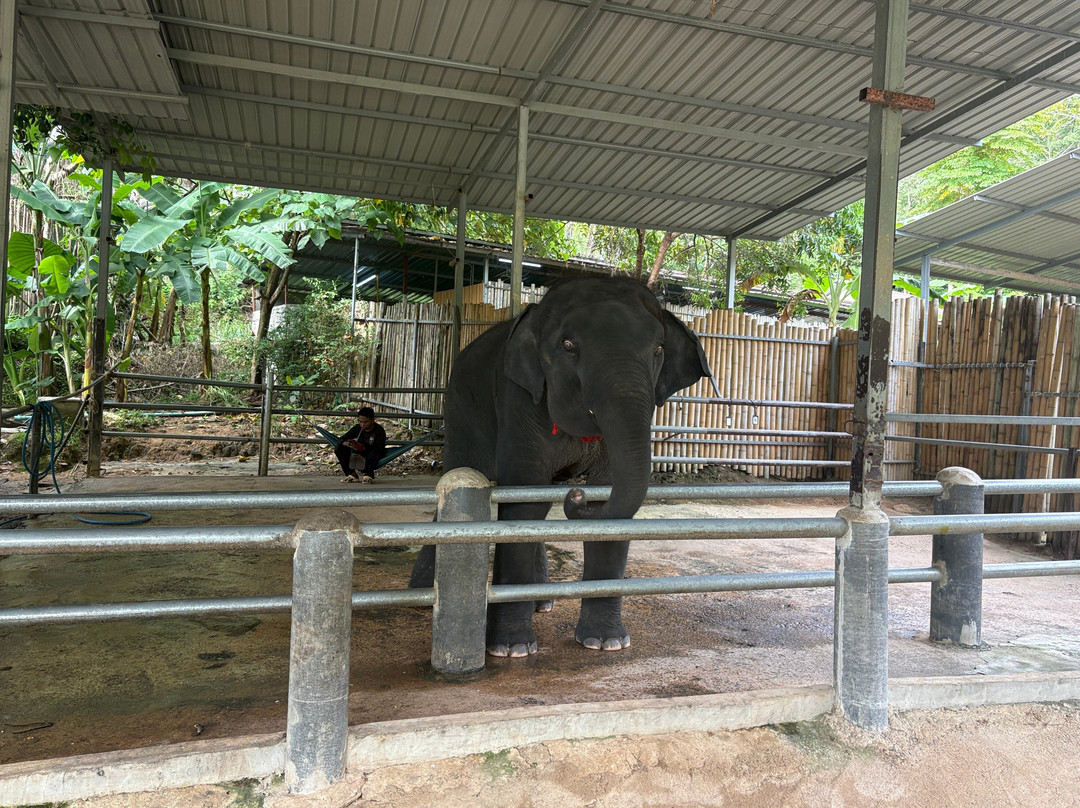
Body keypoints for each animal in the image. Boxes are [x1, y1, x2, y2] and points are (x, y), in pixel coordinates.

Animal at [409, 276, 715, 658]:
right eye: (568, 345)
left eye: (659, 349)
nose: (576, 494)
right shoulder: (517, 398)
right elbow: (523, 500)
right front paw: (511, 649)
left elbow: (605, 500)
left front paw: (606, 643)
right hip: (460, 411)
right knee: (460, 477)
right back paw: (421, 594)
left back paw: (543, 603)